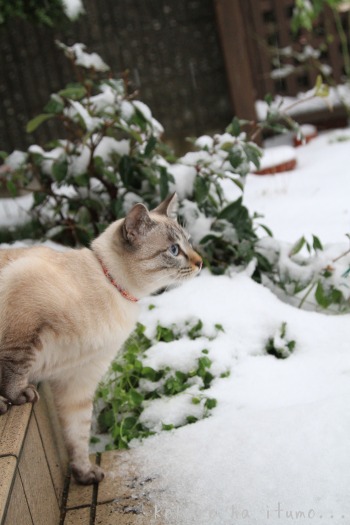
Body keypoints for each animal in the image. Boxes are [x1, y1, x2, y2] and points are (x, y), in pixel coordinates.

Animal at [0, 192, 202, 484]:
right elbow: (16, 363)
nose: (201, 262)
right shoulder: (25, 317)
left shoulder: (79, 381)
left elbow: (78, 435)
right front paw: (19, 395)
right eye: (174, 250)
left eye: (188, 242)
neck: (117, 291)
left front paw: (85, 474)